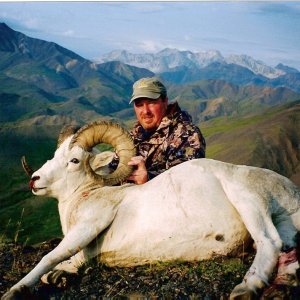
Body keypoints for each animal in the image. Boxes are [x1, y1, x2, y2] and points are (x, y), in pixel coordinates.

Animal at [2, 120, 300, 298]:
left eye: (74, 160)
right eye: (54, 155)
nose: (34, 180)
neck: (87, 195)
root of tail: (290, 191)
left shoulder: (88, 227)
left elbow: (50, 258)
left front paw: (16, 290)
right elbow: (63, 265)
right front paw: (59, 278)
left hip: (247, 200)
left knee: (270, 242)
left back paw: (246, 288)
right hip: (284, 224)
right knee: (287, 251)